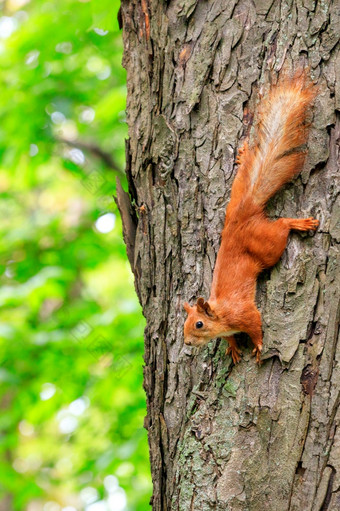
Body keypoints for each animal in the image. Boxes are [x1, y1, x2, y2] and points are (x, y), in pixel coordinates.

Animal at [183, 74, 318, 366]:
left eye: (199, 324)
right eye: (185, 324)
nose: (187, 342)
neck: (222, 315)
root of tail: (241, 216)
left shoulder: (244, 313)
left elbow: (256, 325)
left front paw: (257, 345)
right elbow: (231, 339)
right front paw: (233, 348)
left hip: (268, 246)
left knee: (281, 227)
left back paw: (298, 224)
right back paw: (245, 154)